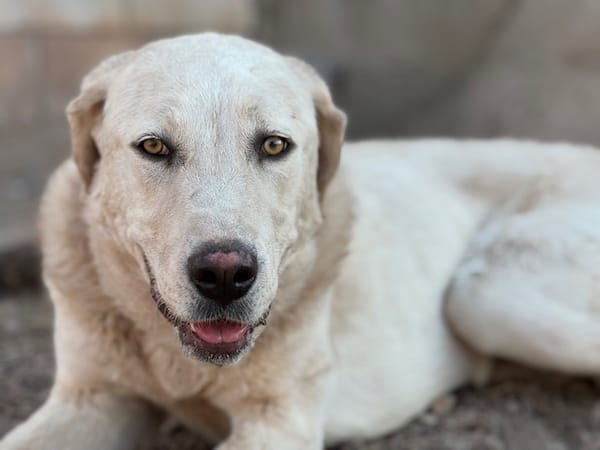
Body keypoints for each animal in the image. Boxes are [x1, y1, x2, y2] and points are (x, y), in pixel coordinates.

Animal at [2, 33, 600, 450]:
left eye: (273, 145)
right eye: (153, 146)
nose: (225, 275)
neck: (179, 361)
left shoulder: (279, 420)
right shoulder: (91, 398)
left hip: (483, 293)